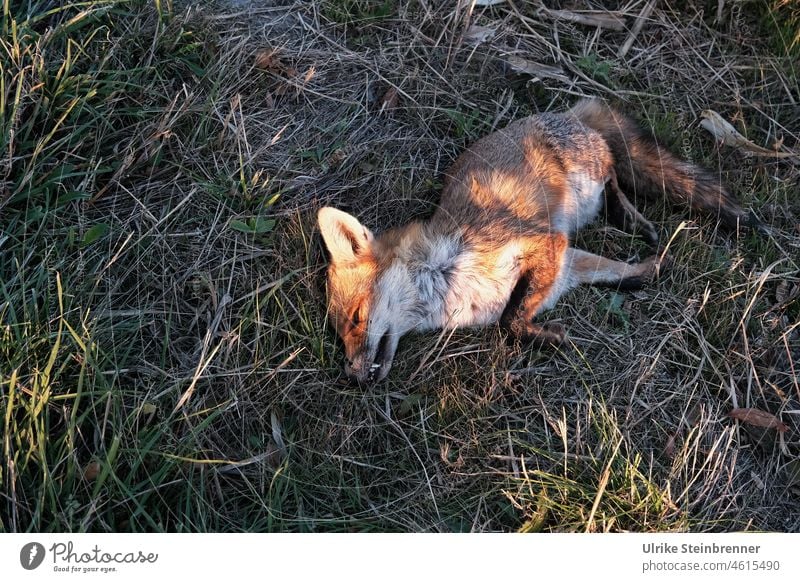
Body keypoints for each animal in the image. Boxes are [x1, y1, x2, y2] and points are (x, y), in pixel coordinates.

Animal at [316, 98, 760, 386]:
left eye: (356, 318)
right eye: (339, 335)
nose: (352, 376)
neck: (449, 280)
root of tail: (568, 112)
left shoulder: (544, 244)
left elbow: (510, 322)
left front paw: (547, 337)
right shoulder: (564, 265)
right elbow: (616, 273)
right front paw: (648, 271)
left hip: (586, 178)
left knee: (615, 174)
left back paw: (630, 217)